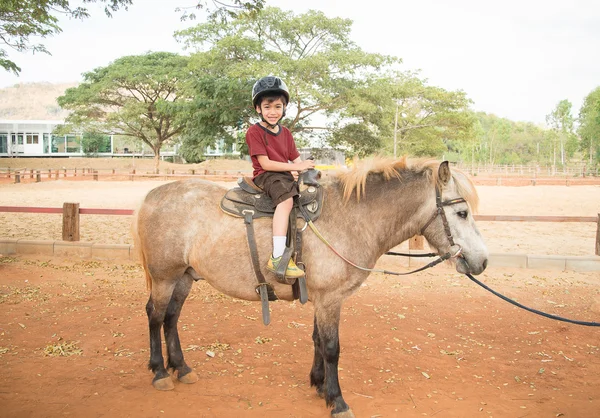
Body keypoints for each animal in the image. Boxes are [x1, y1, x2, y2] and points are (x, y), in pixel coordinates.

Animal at [132, 158, 488, 418]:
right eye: (462, 212)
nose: (482, 261)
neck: (352, 218)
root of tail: (152, 195)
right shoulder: (330, 299)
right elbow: (331, 347)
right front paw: (337, 401)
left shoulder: (323, 299)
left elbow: (317, 340)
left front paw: (318, 385)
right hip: (165, 278)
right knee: (154, 315)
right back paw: (160, 372)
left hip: (184, 277)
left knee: (171, 318)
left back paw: (181, 368)